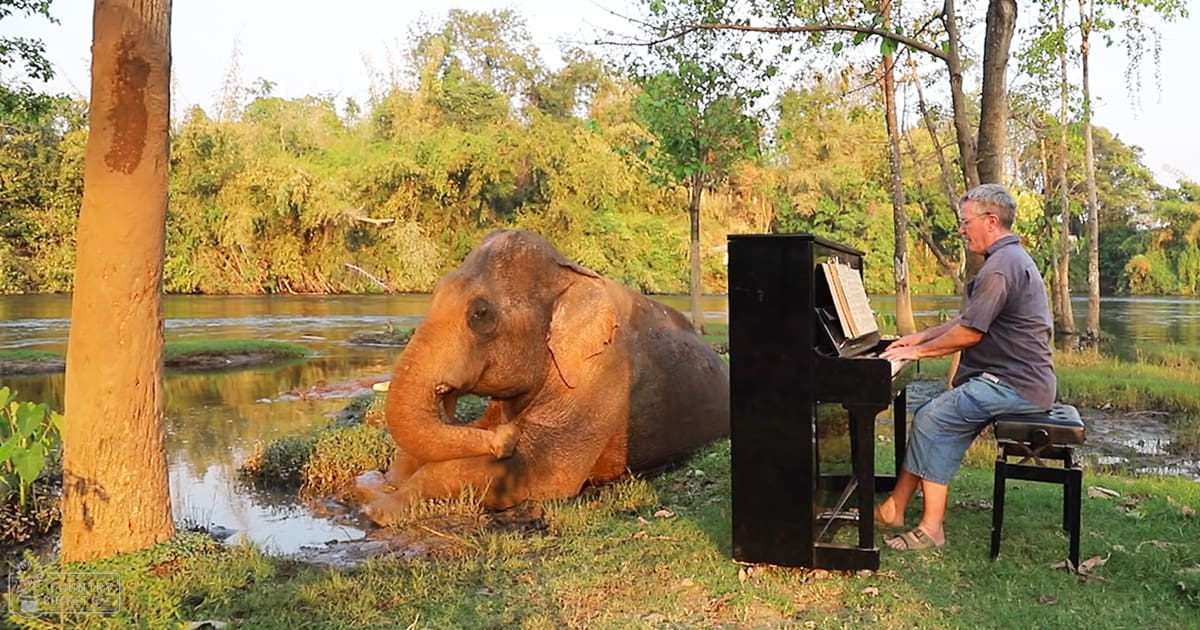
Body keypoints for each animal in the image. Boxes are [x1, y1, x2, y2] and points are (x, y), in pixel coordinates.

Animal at [354, 229, 729, 524]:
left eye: (480, 314)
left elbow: (540, 474)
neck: (571, 278)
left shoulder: (601, 375)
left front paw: (380, 508)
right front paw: (378, 483)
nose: (506, 439)